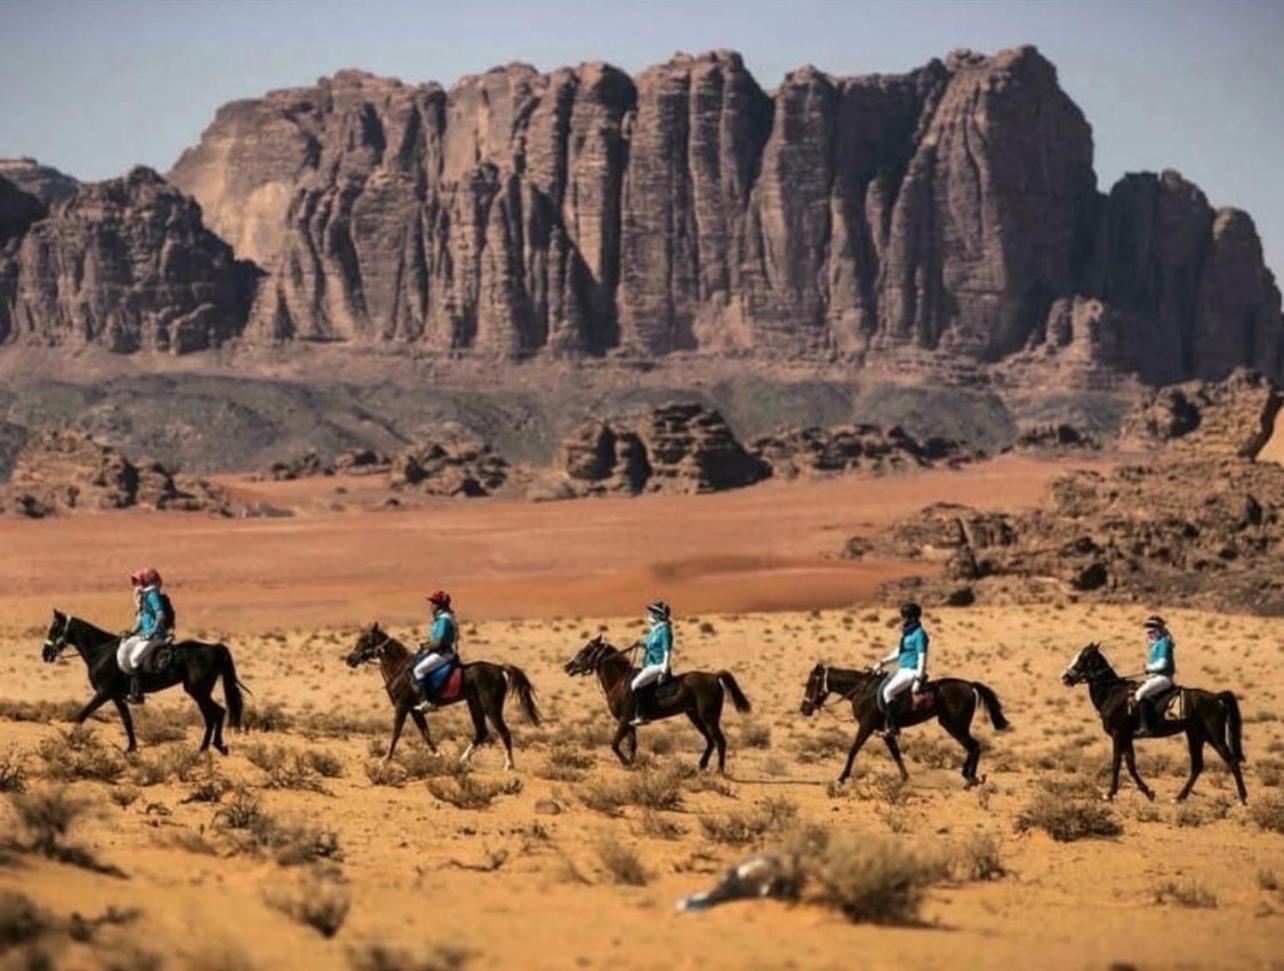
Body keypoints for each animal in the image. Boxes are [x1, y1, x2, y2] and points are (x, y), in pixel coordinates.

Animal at [41, 606, 243, 760]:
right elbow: (127, 720)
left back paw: (209, 748)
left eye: (54, 630)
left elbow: (81, 714)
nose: (45, 654)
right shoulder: (116, 696)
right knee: (215, 714)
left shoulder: (104, 693)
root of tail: (214, 648)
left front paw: (70, 741)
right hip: (199, 692)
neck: (101, 652)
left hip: (198, 691)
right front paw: (131, 748)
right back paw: (212, 748)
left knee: (215, 714)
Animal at [344, 621, 539, 775]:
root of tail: (499, 669)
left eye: (365, 640)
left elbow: (396, 733)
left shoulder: (402, 706)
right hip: (474, 704)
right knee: (481, 732)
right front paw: (438, 755)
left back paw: (508, 765)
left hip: (491, 707)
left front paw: (385, 759)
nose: (349, 659)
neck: (399, 668)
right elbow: (425, 733)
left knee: (503, 731)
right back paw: (462, 760)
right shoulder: (415, 710)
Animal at [562, 637, 749, 775]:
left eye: (586, 651)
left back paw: (719, 771)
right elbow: (632, 745)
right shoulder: (630, 723)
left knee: (719, 741)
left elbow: (614, 744)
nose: (568, 666)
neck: (620, 681)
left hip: (709, 718)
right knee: (710, 740)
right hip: (694, 716)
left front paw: (626, 762)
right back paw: (702, 766)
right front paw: (633, 764)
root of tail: (714, 677)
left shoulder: (624, 720)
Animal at [796, 657, 1006, 791]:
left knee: (974, 746)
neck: (863, 690)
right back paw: (970, 778)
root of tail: (969, 685)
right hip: (953, 725)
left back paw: (970, 779)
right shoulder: (885, 732)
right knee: (973, 746)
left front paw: (841, 778)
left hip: (954, 726)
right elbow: (896, 754)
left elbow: (853, 750)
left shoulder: (866, 726)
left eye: (811, 684)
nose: (804, 709)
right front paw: (905, 779)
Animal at [1063, 644, 1242, 806]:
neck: (1112, 693)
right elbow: (1131, 765)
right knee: (1197, 766)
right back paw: (1178, 798)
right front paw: (1148, 792)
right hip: (1196, 736)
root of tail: (1216, 697)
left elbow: (1116, 763)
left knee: (1232, 761)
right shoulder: (1127, 737)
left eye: (1083, 657)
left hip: (1215, 737)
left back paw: (1242, 799)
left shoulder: (1118, 734)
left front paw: (1109, 794)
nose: (1065, 677)